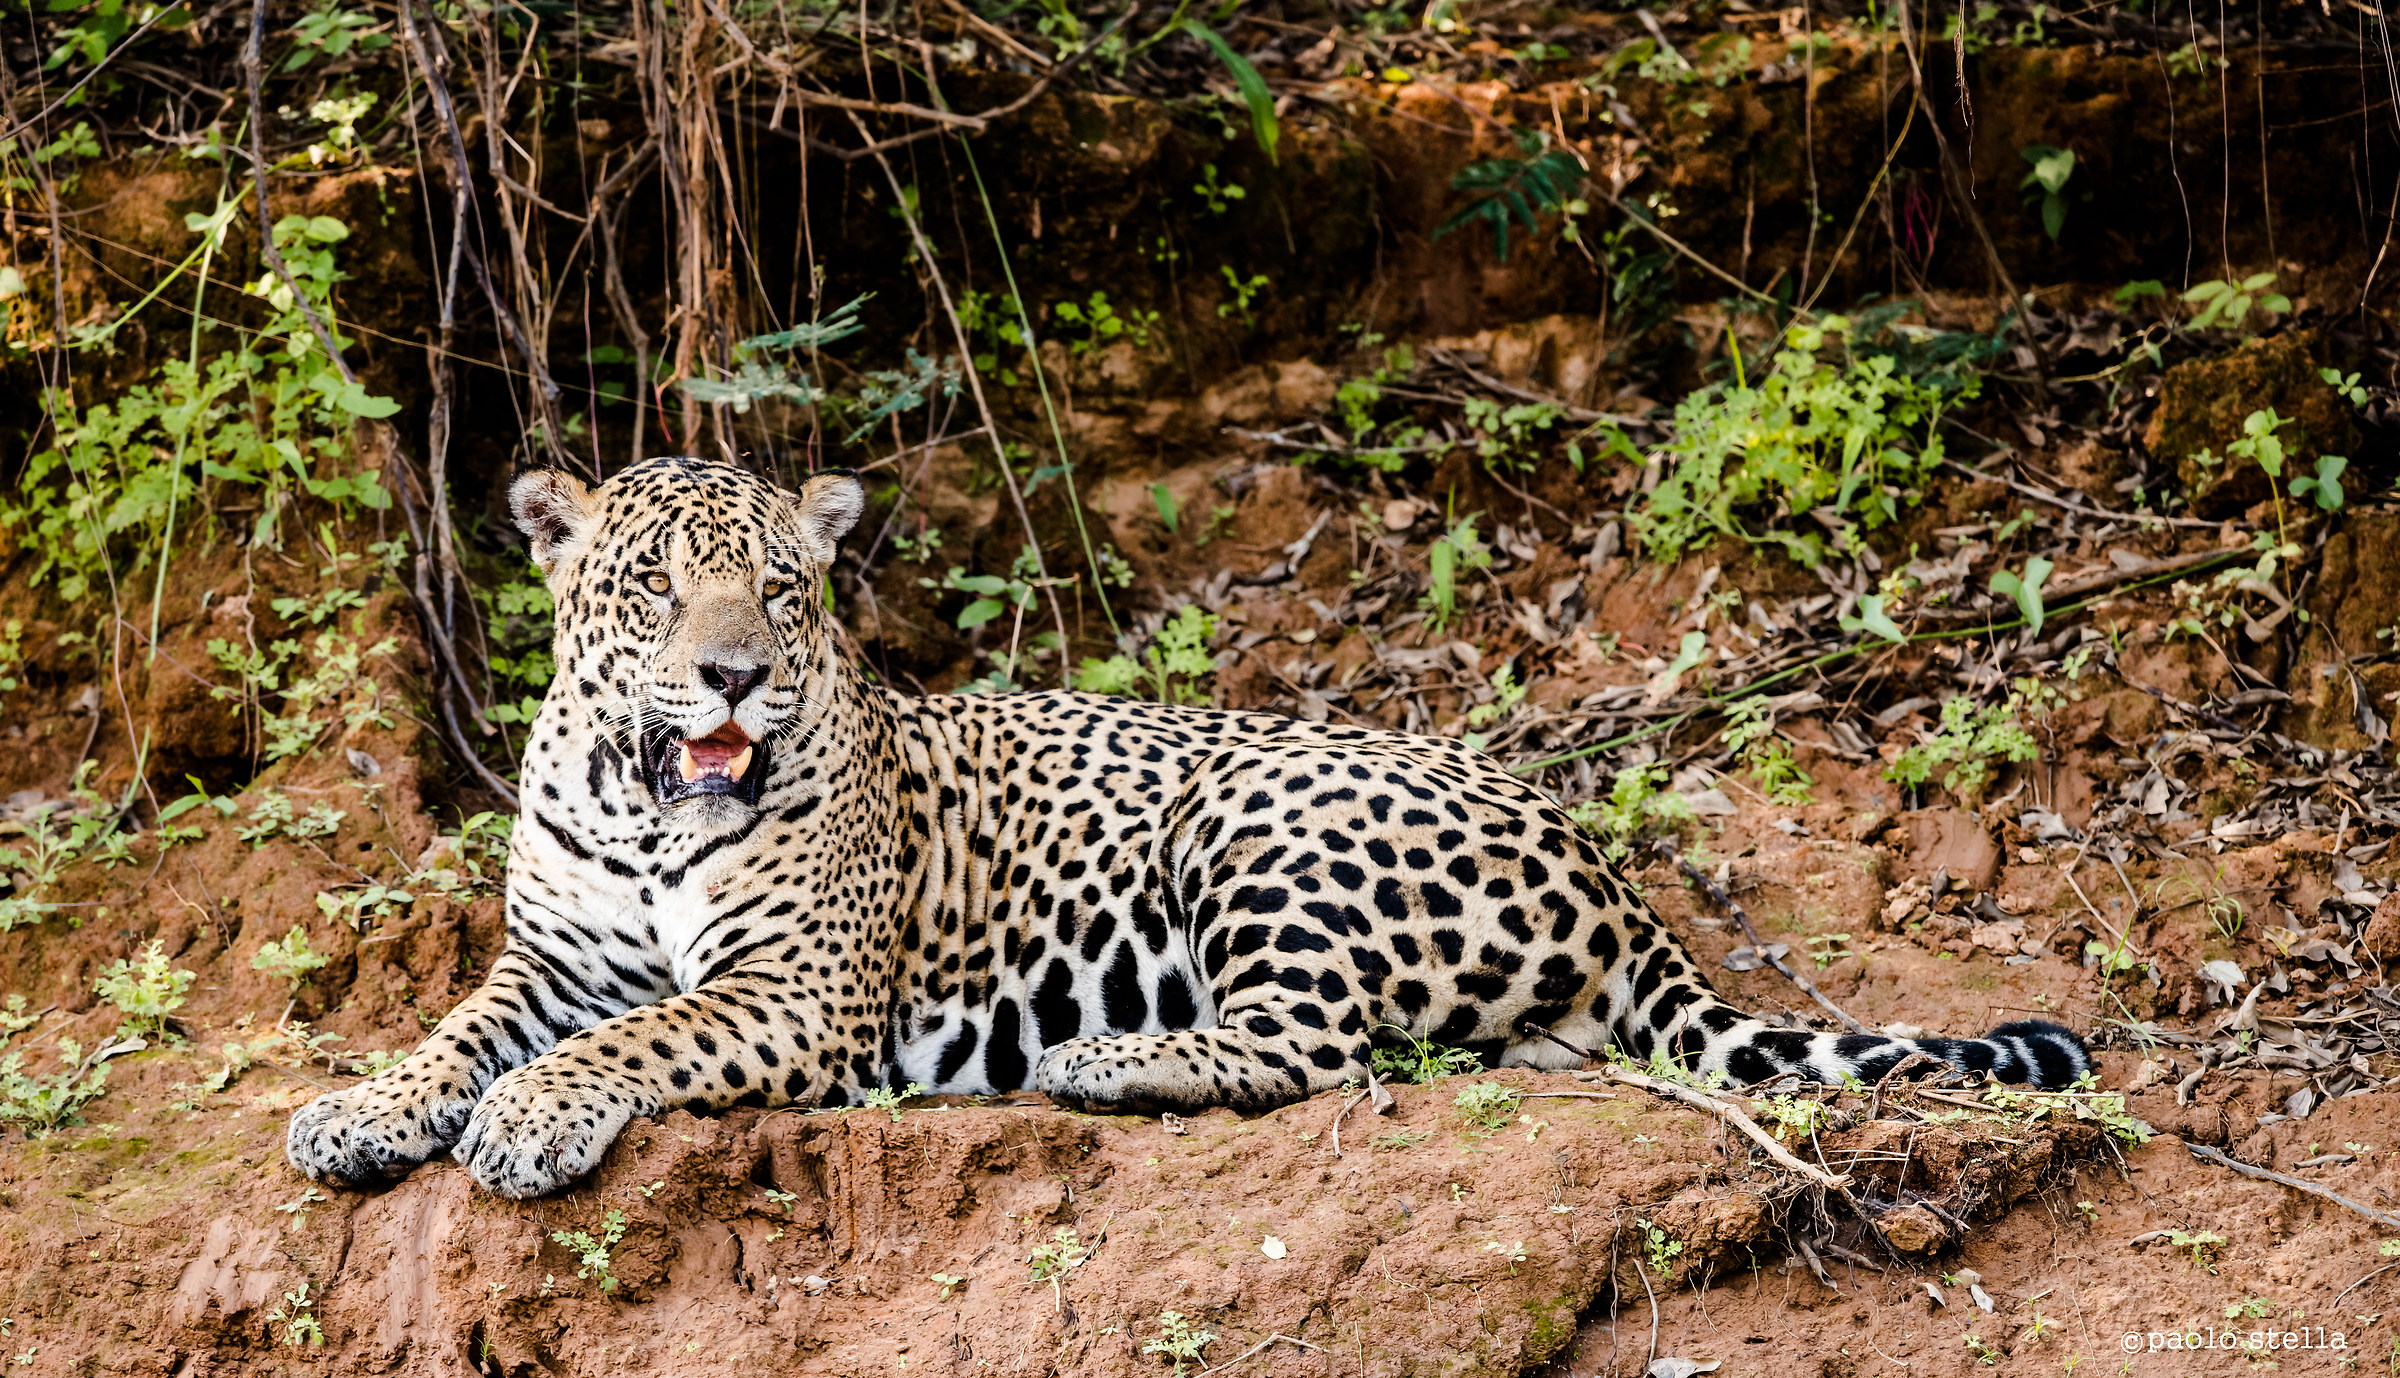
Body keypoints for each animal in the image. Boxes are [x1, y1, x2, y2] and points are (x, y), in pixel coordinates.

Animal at [286, 454, 2091, 1199]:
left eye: (785, 591)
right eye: (658, 586)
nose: (734, 672)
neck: (644, 804)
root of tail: (1603, 858)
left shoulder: (796, 991)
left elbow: (627, 1040)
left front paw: (525, 1123)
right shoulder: (547, 962)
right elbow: (458, 1031)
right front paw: (362, 1109)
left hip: (1254, 814)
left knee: (1325, 1044)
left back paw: (1097, 1061)